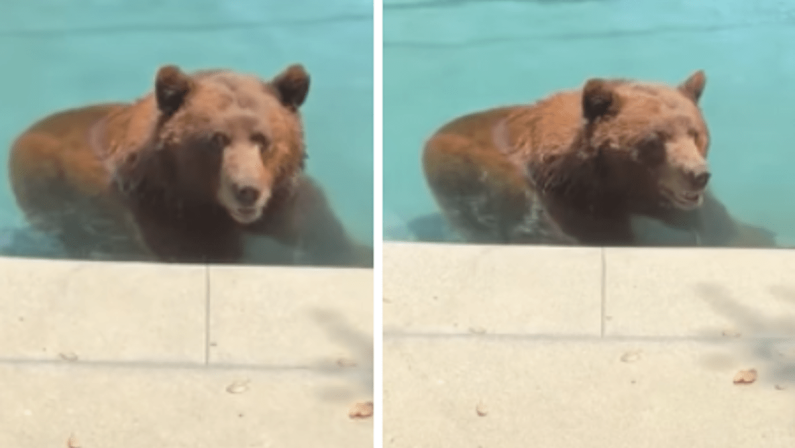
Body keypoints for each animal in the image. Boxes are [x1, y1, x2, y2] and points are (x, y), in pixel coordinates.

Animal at [8, 64, 373, 267]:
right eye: (217, 139)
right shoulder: (169, 219)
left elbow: (338, 246)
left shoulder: (292, 206)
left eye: (262, 139)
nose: (247, 190)